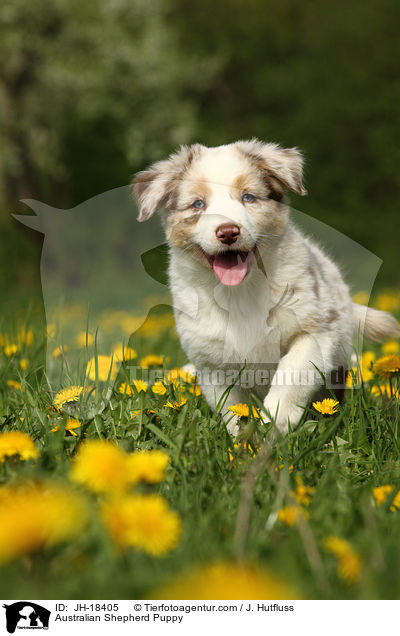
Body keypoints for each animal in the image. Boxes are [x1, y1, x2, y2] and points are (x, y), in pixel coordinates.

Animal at [133, 139, 398, 438]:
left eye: (248, 197)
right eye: (198, 204)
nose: (228, 232)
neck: (240, 292)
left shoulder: (316, 330)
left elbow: (293, 372)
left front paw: (276, 421)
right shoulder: (211, 362)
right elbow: (231, 409)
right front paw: (242, 441)